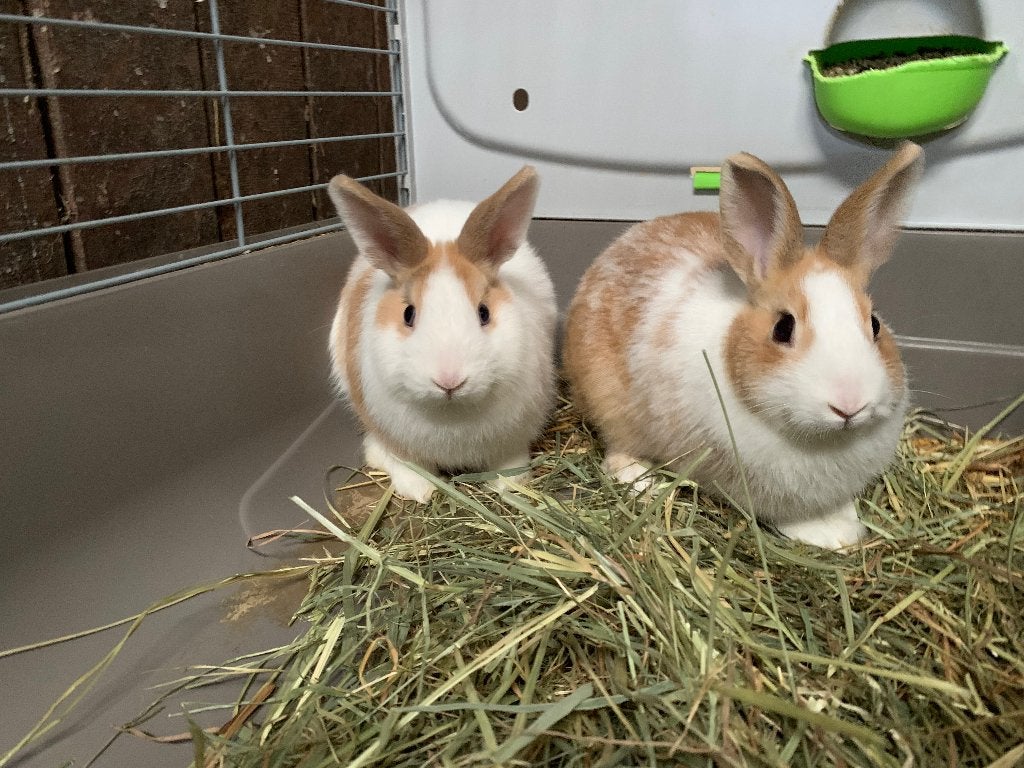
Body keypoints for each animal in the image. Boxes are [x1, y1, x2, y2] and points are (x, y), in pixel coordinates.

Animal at [327, 166, 557, 503]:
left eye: (484, 312)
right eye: (408, 314)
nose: (449, 381)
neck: (451, 412)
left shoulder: (513, 438)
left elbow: (509, 463)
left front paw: (508, 486)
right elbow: (407, 463)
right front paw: (419, 491)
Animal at [563, 143, 924, 549]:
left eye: (875, 324)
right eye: (782, 328)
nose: (849, 405)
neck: (823, 440)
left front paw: (846, 527)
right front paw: (828, 534)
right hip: (609, 401)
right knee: (617, 447)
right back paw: (641, 481)